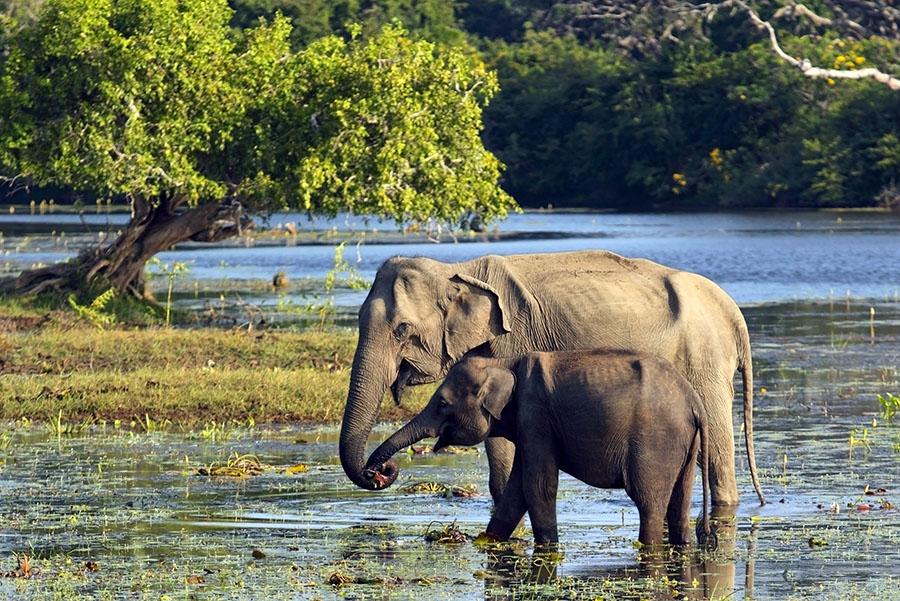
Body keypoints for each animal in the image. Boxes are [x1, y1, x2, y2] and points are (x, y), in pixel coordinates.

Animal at [339, 250, 765, 508]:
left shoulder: (513, 342)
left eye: (402, 329)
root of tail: (733, 312)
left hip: (704, 358)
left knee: (717, 450)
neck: (456, 270)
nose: (382, 473)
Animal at [363, 350, 713, 548]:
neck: (504, 363)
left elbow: (537, 485)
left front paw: (548, 548)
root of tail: (694, 403)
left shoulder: (535, 415)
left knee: (648, 502)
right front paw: (486, 540)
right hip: (684, 445)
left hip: (655, 441)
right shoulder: (527, 424)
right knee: (679, 502)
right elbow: (517, 489)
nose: (379, 472)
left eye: (443, 404)